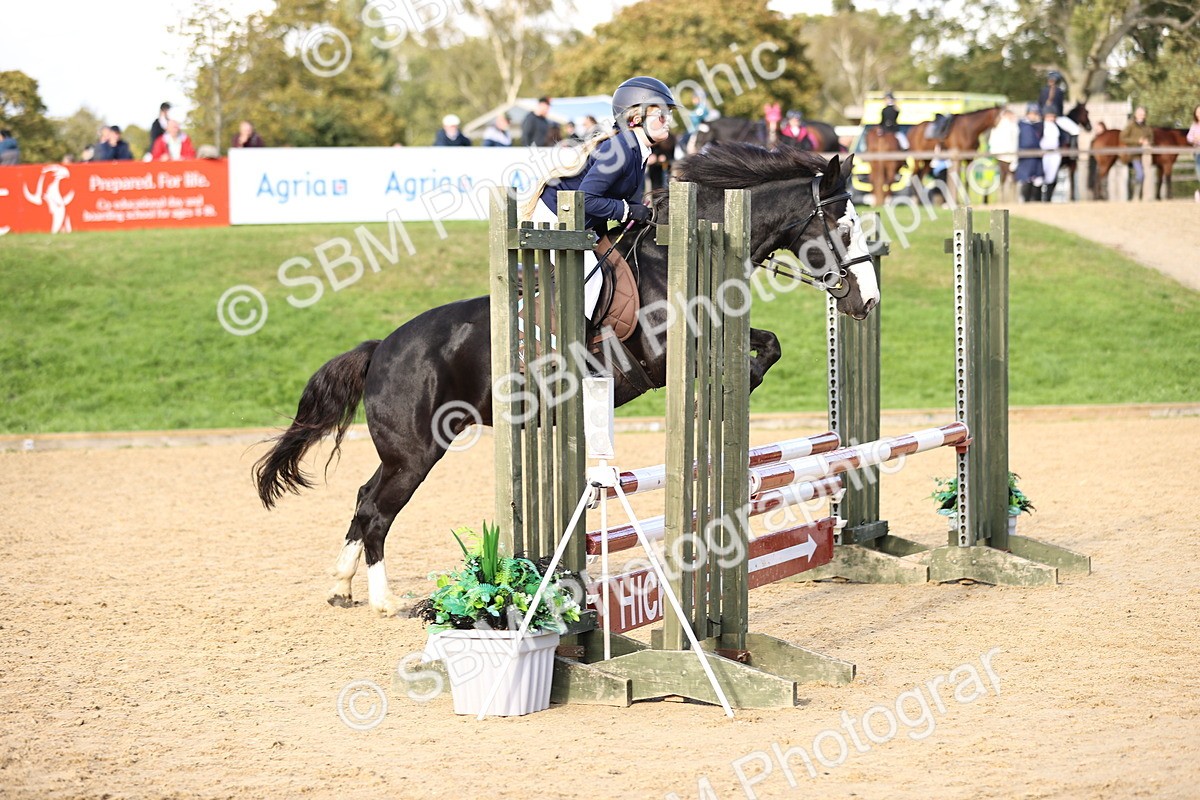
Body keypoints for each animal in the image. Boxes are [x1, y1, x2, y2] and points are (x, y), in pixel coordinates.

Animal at [253, 145, 879, 616]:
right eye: (844, 227)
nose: (868, 303)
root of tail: (381, 347)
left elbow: (769, 345)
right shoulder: (665, 356)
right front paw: (730, 394)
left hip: (405, 452)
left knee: (363, 500)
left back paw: (340, 586)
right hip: (415, 451)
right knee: (378, 510)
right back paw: (384, 601)